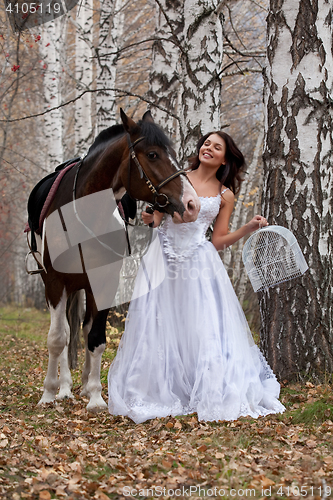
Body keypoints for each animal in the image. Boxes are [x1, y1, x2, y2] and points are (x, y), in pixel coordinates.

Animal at [27, 108, 198, 410]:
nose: (191, 203)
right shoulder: (54, 282)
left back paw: (82, 385)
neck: (83, 214)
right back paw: (64, 388)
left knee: (82, 329)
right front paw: (48, 393)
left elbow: (95, 337)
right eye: (152, 154)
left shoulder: (104, 281)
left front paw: (95, 395)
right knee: (65, 332)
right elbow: (57, 338)